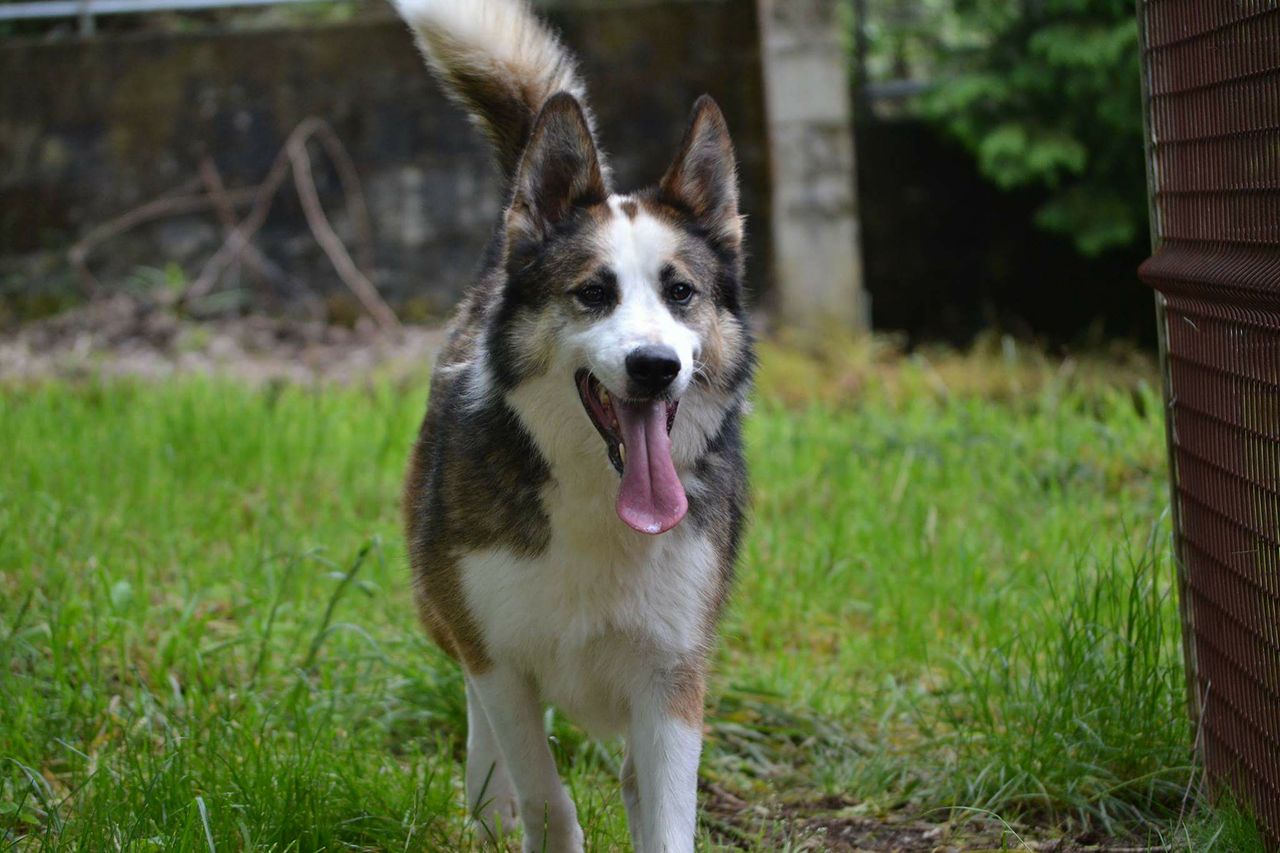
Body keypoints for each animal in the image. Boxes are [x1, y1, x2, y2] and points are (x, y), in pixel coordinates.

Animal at [394, 1, 753, 849]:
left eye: (682, 292)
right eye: (593, 292)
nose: (656, 366)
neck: (598, 492)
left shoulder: (673, 675)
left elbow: (665, 811)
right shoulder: (499, 654)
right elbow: (548, 799)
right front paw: (515, 804)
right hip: (437, 596)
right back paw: (488, 801)